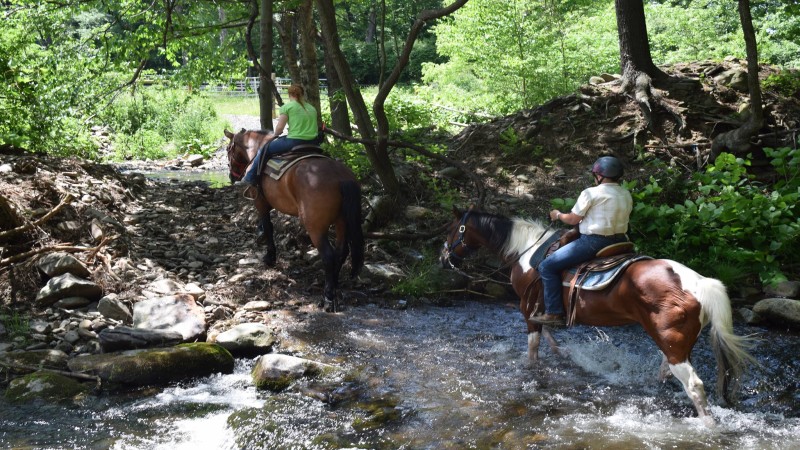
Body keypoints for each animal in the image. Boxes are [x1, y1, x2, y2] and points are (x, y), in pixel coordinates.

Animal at [223, 128, 364, 312]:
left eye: (228, 149)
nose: (232, 176)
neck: (258, 148)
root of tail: (341, 177)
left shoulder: (260, 203)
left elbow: (268, 227)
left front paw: (270, 257)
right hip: (342, 222)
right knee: (341, 252)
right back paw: (334, 285)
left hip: (316, 227)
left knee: (328, 256)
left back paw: (328, 297)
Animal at [440, 207, 760, 426]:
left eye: (453, 229)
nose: (443, 259)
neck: (527, 251)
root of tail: (700, 283)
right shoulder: (538, 308)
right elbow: (547, 331)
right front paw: (562, 352)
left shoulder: (527, 307)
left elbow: (533, 345)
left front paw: (532, 368)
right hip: (675, 341)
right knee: (668, 370)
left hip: (672, 342)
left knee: (693, 385)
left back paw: (708, 426)